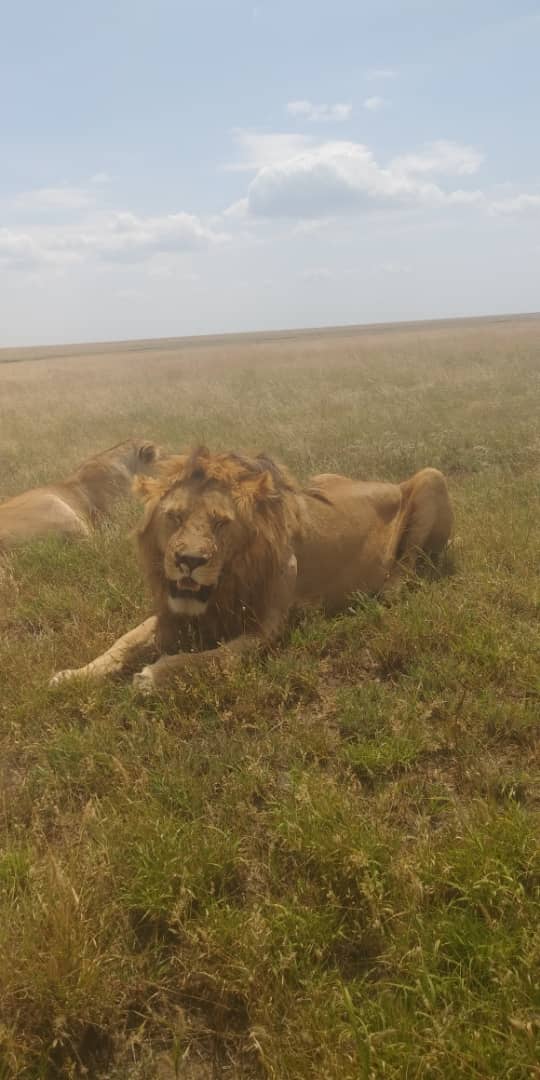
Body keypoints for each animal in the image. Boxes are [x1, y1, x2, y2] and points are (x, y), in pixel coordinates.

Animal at [50, 444, 453, 691]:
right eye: (175, 517)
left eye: (221, 523)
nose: (188, 561)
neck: (228, 581)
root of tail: (385, 482)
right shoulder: (171, 611)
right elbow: (123, 641)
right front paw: (74, 675)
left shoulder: (266, 629)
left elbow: (211, 657)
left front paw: (155, 674)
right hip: (322, 479)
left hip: (432, 477)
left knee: (408, 568)